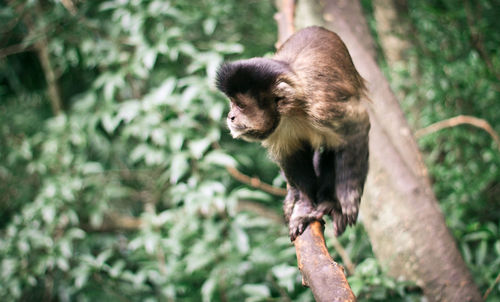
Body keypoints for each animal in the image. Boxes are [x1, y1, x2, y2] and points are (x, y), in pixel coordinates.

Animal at [217, 27, 370, 242]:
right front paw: (304, 205)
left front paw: (348, 197)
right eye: (232, 103)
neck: (292, 110)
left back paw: (328, 201)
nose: (230, 116)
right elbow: (290, 156)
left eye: (240, 105)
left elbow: (358, 127)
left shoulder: (323, 107)